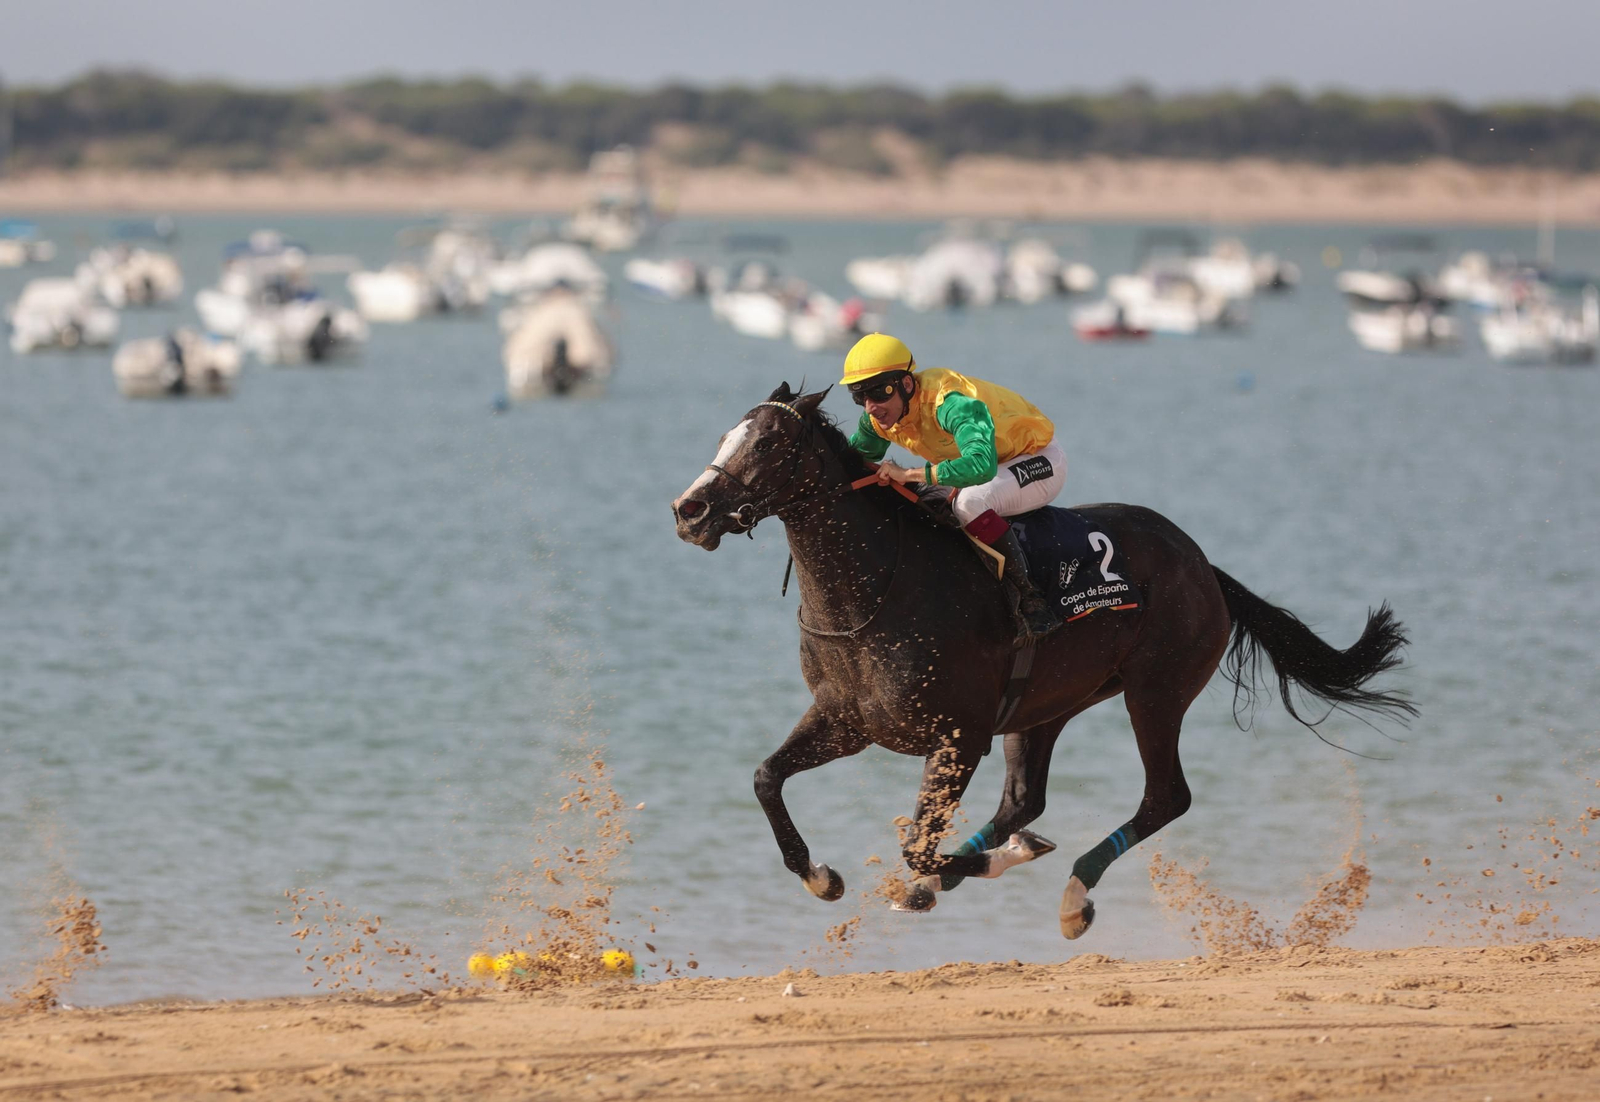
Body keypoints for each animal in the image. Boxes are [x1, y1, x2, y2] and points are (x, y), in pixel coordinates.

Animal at [671, 384, 1414, 937]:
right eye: (726, 435)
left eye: (768, 442)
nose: (690, 509)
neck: (879, 590)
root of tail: (1203, 565)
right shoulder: (848, 721)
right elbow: (767, 778)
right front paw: (822, 876)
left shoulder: (957, 735)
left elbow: (916, 841)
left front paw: (965, 866)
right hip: (1046, 707)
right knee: (1025, 800)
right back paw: (959, 876)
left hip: (1155, 691)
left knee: (1164, 797)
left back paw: (1069, 895)